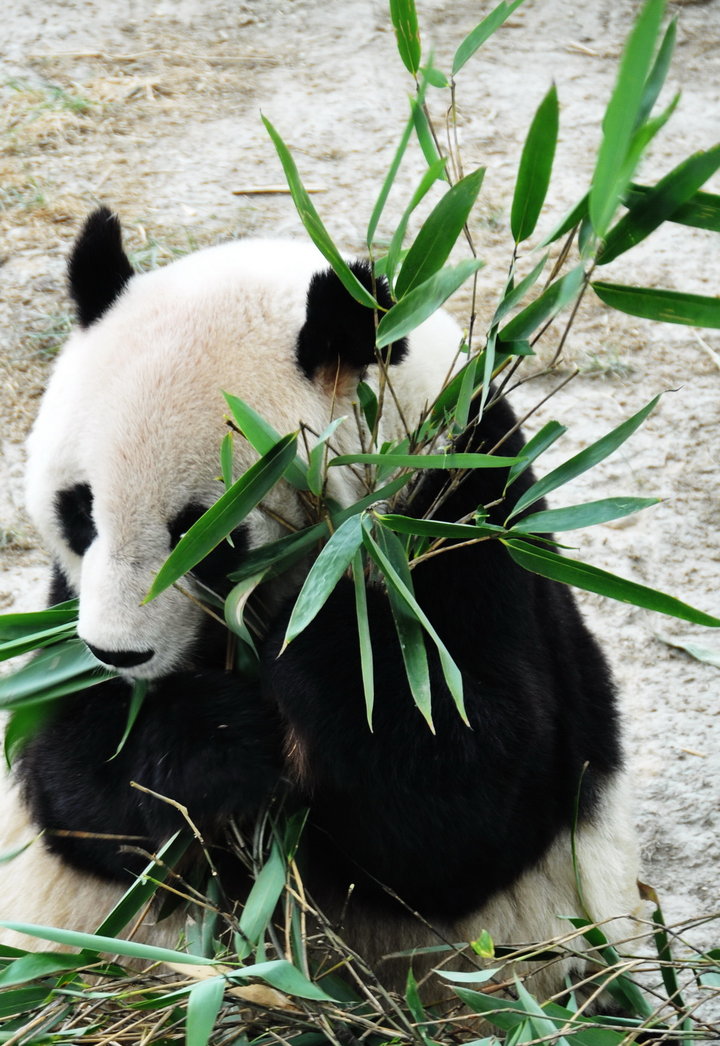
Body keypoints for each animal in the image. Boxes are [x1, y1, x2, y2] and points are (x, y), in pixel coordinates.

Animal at [0, 203, 640, 995]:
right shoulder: (64, 612)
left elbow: (469, 797)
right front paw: (211, 744)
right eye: (81, 511)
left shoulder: (470, 516)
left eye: (204, 535)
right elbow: (74, 784)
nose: (117, 651)